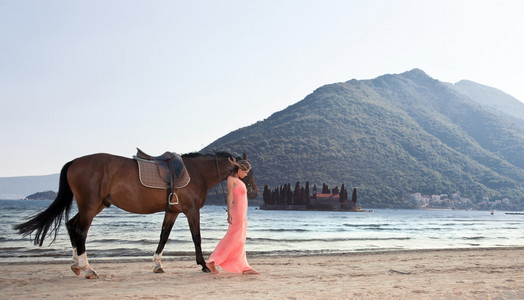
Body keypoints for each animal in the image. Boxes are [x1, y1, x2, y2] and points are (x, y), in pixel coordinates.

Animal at [13, 151, 256, 278]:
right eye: (247, 170)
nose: (253, 191)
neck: (196, 173)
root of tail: (75, 161)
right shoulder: (191, 210)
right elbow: (196, 237)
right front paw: (204, 265)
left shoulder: (172, 211)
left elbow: (163, 237)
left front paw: (157, 265)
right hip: (90, 205)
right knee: (80, 230)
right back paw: (88, 268)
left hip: (97, 205)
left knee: (72, 226)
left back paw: (77, 264)